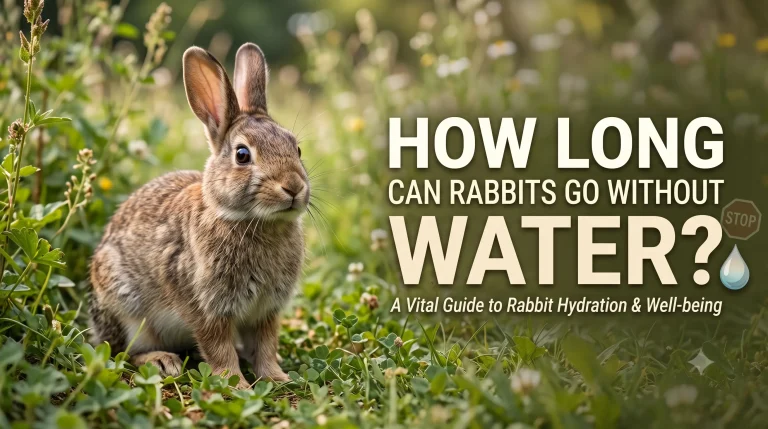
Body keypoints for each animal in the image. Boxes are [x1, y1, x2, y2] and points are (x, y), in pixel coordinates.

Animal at [88, 43, 309, 388]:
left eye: (296, 149)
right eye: (242, 155)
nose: (294, 187)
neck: (250, 220)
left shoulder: (265, 311)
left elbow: (266, 345)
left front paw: (277, 378)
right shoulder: (206, 307)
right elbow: (218, 347)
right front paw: (235, 384)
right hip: (128, 311)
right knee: (125, 351)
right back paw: (162, 361)